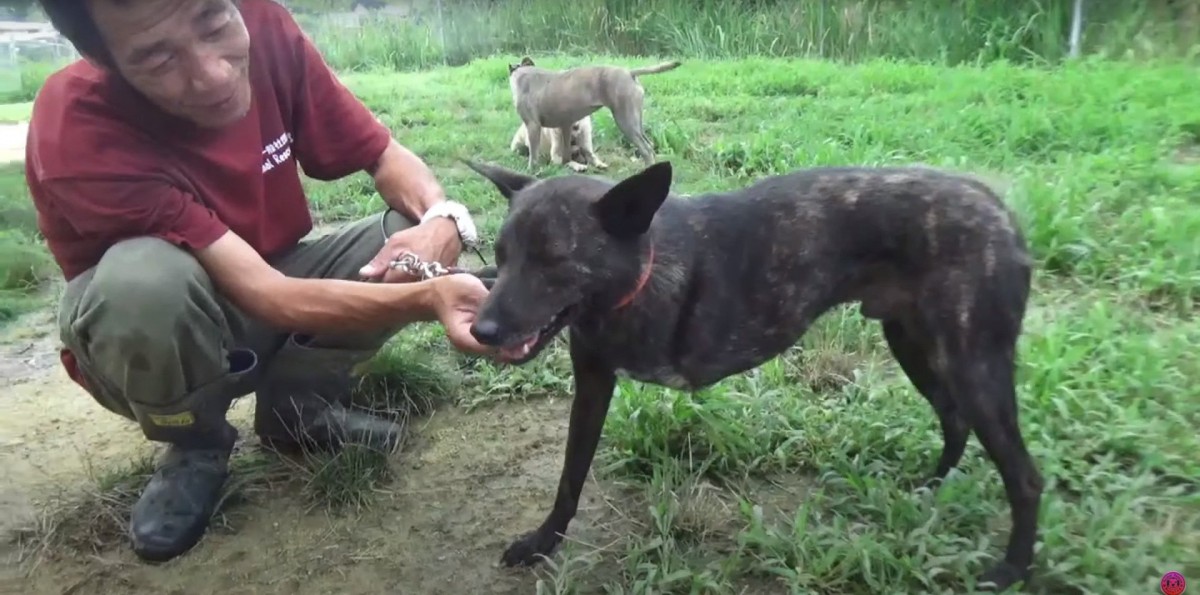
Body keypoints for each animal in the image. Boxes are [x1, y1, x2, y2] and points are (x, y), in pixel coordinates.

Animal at [463, 158, 1046, 590]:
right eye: (501, 255)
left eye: (554, 262)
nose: (480, 330)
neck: (641, 268)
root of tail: (996, 208)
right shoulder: (592, 383)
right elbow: (569, 476)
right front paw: (544, 541)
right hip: (913, 345)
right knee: (953, 419)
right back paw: (930, 486)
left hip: (973, 367)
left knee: (1024, 476)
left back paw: (1012, 570)